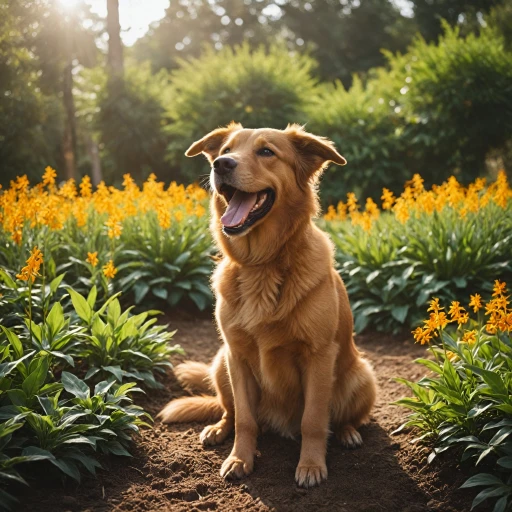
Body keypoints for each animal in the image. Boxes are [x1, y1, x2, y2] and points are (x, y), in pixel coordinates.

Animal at [158, 123, 378, 488]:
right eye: (227, 149)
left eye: (266, 152)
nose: (221, 164)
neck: (262, 265)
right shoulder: (237, 356)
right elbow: (245, 420)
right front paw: (239, 459)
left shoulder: (318, 356)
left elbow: (313, 420)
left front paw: (311, 465)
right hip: (220, 363)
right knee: (229, 411)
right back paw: (218, 428)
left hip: (362, 376)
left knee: (345, 418)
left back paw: (348, 434)